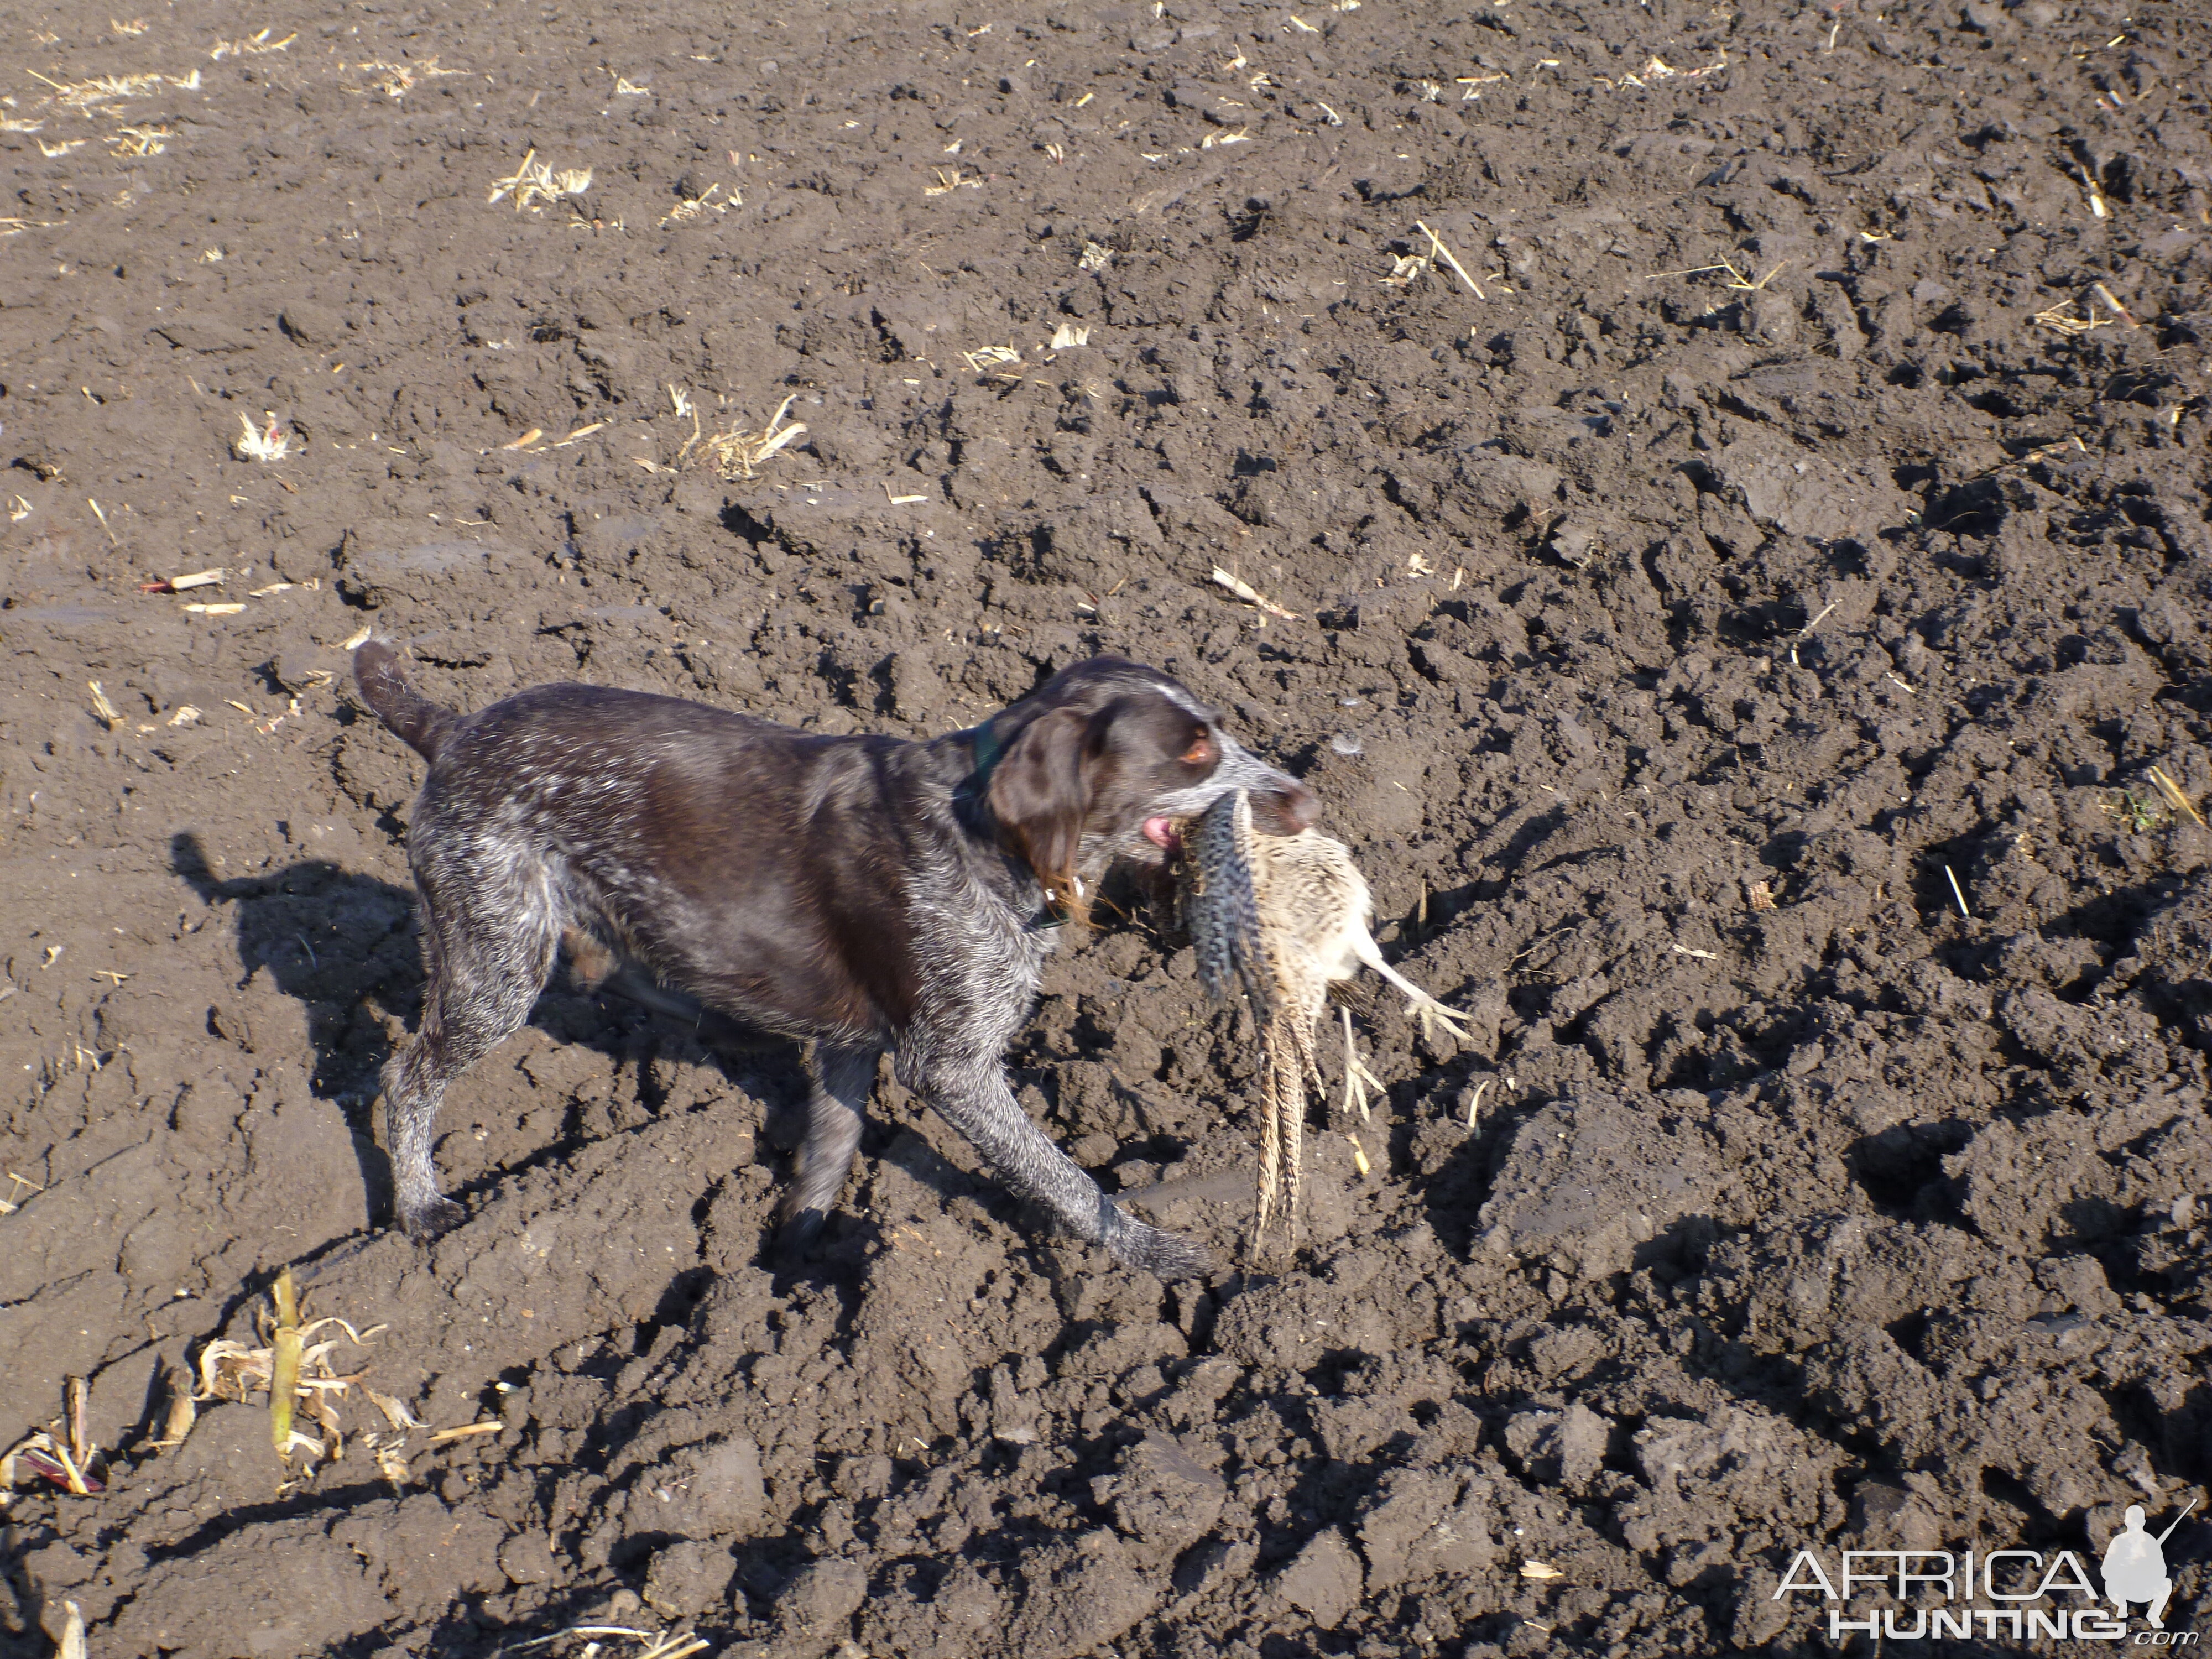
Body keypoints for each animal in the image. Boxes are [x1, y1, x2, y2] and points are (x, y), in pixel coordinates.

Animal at [349, 641, 1310, 1283]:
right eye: (1192, 752)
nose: (1303, 798)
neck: (984, 833)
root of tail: (458, 731)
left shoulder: (852, 1043)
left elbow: (826, 1156)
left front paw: (795, 1262)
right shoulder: (950, 1067)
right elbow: (1063, 1178)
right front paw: (1152, 1251)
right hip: (497, 955)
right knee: (405, 1079)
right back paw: (421, 1207)